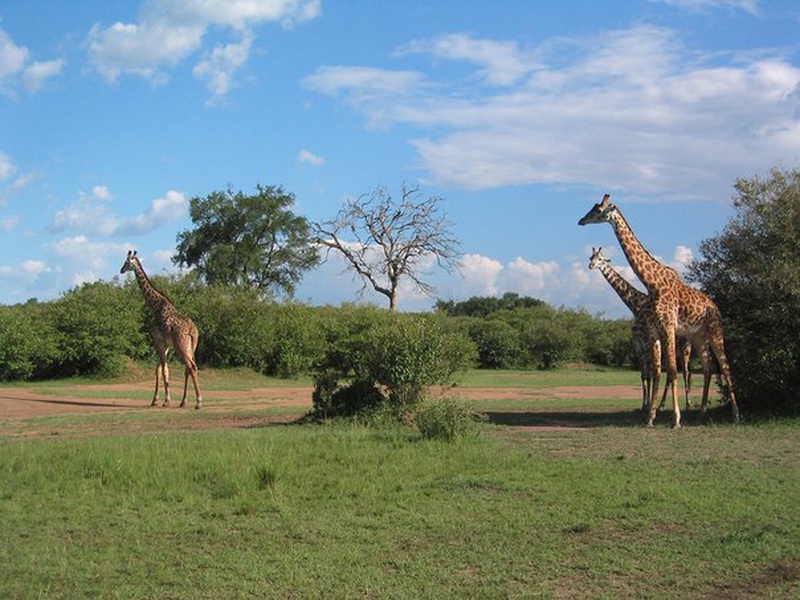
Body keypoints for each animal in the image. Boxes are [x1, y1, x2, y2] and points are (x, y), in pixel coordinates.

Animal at [122, 251, 205, 410]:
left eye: (126, 262)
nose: (121, 270)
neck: (155, 306)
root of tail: (192, 330)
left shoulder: (158, 341)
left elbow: (164, 371)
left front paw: (166, 401)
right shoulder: (165, 345)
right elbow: (159, 370)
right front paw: (155, 400)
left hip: (181, 346)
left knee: (191, 367)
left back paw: (198, 402)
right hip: (192, 347)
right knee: (190, 368)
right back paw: (184, 401)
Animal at [588, 245, 692, 412]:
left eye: (601, 259)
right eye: (591, 258)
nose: (591, 266)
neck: (636, 307)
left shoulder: (647, 345)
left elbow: (650, 375)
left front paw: (648, 405)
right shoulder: (638, 347)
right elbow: (644, 376)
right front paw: (644, 405)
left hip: (685, 347)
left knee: (686, 372)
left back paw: (687, 404)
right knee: (672, 373)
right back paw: (661, 405)